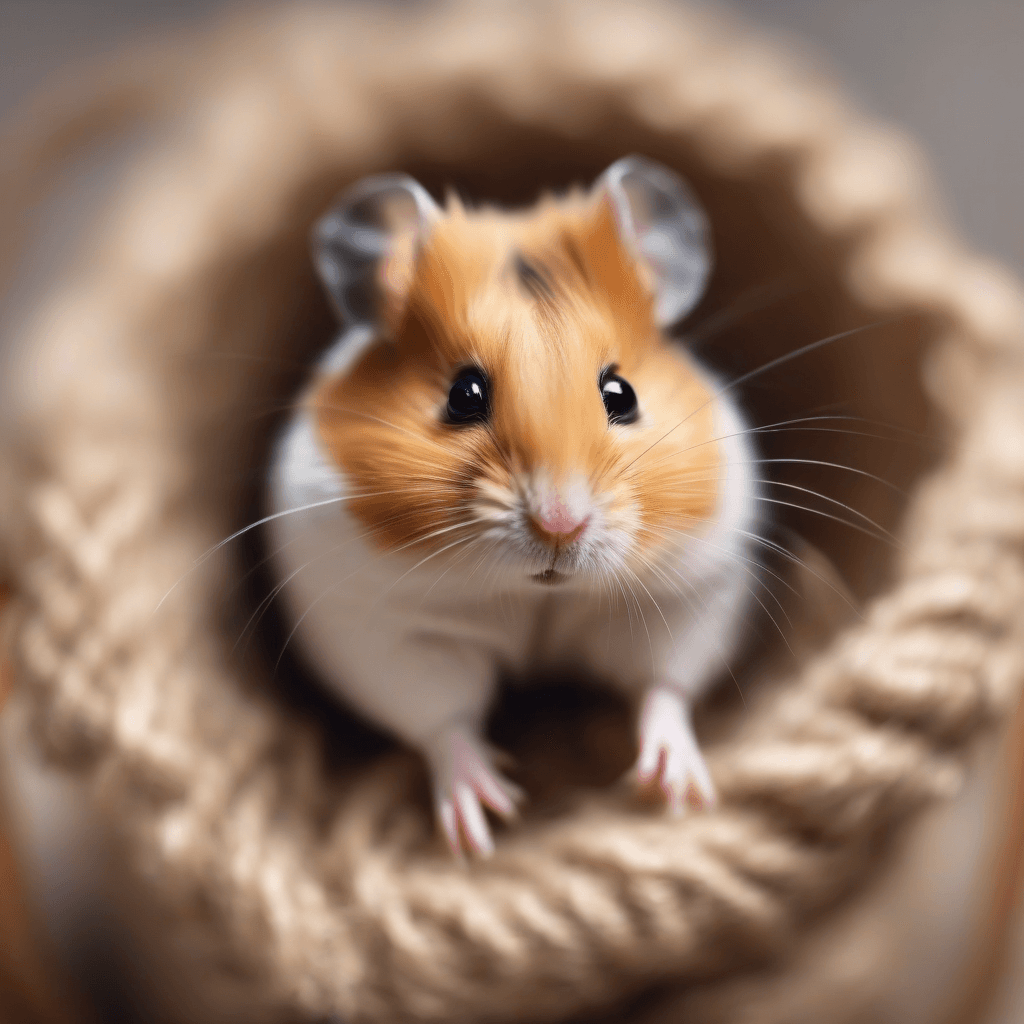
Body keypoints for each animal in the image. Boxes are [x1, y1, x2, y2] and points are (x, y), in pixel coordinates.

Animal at [267, 157, 757, 857]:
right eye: (463, 395)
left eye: (622, 393)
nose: (560, 523)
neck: (537, 597)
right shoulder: (388, 631)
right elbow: (444, 721)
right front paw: (488, 818)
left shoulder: (687, 596)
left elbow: (662, 686)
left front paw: (678, 793)